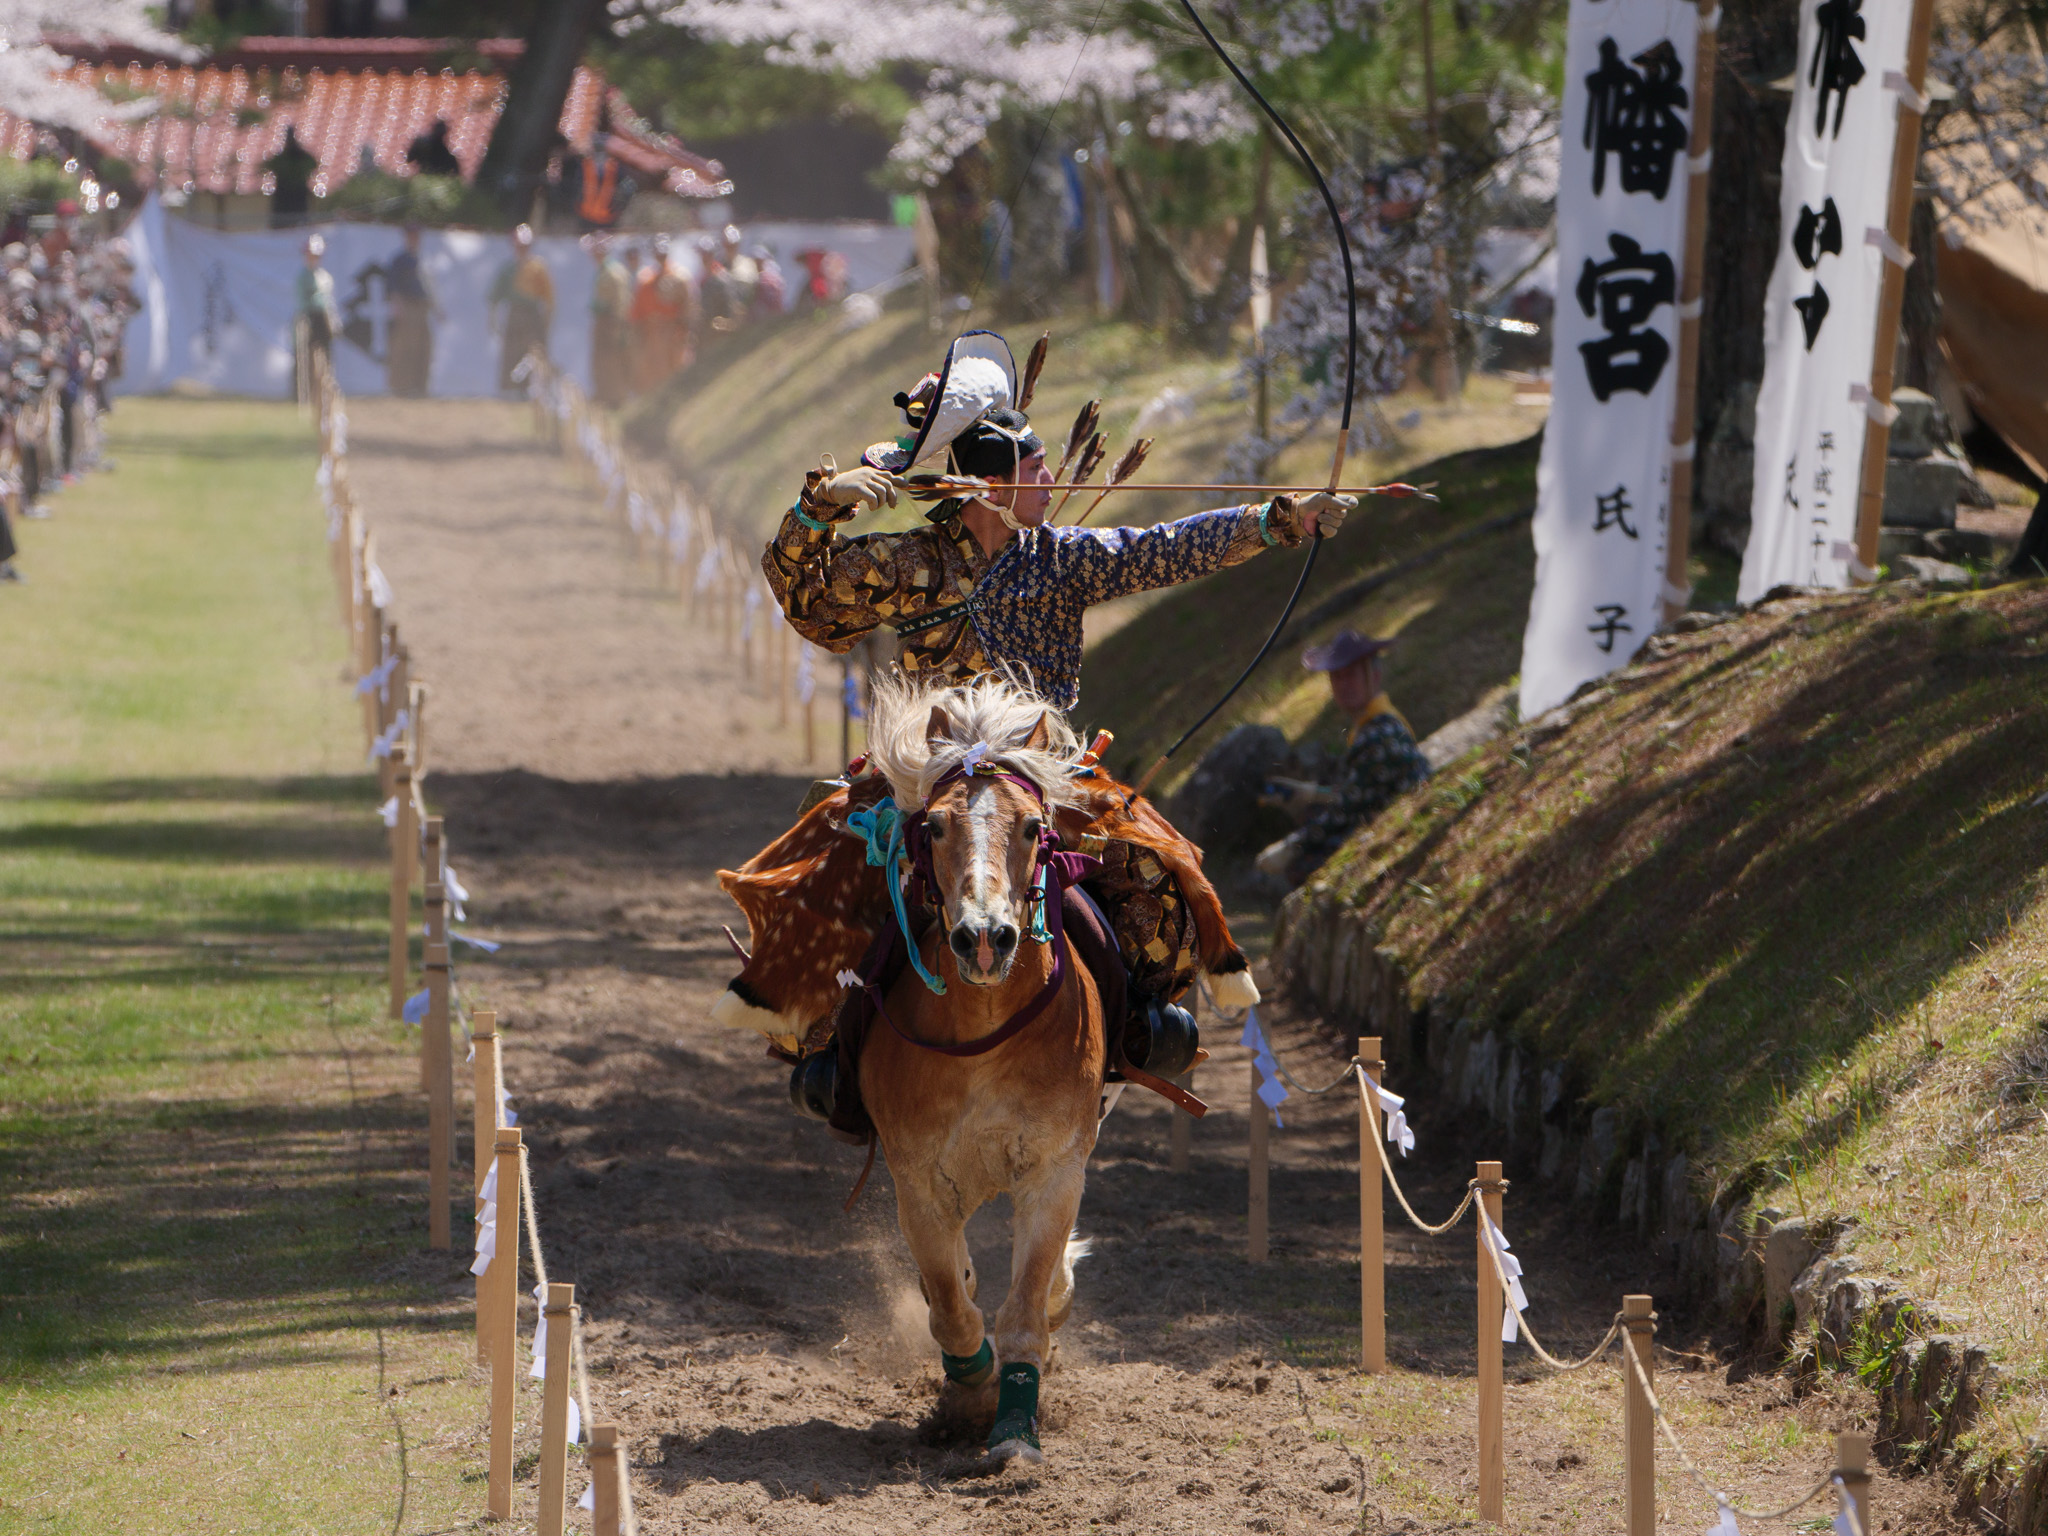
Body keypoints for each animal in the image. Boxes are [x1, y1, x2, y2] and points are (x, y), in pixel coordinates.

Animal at [851, 671, 1105, 1466]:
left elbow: (1024, 1310)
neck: (986, 1039)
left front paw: (1014, 1435)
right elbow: (952, 1308)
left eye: (1029, 828)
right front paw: (971, 1399)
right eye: (934, 827)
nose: (985, 937)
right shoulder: (918, 1182)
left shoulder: (1055, 1170)